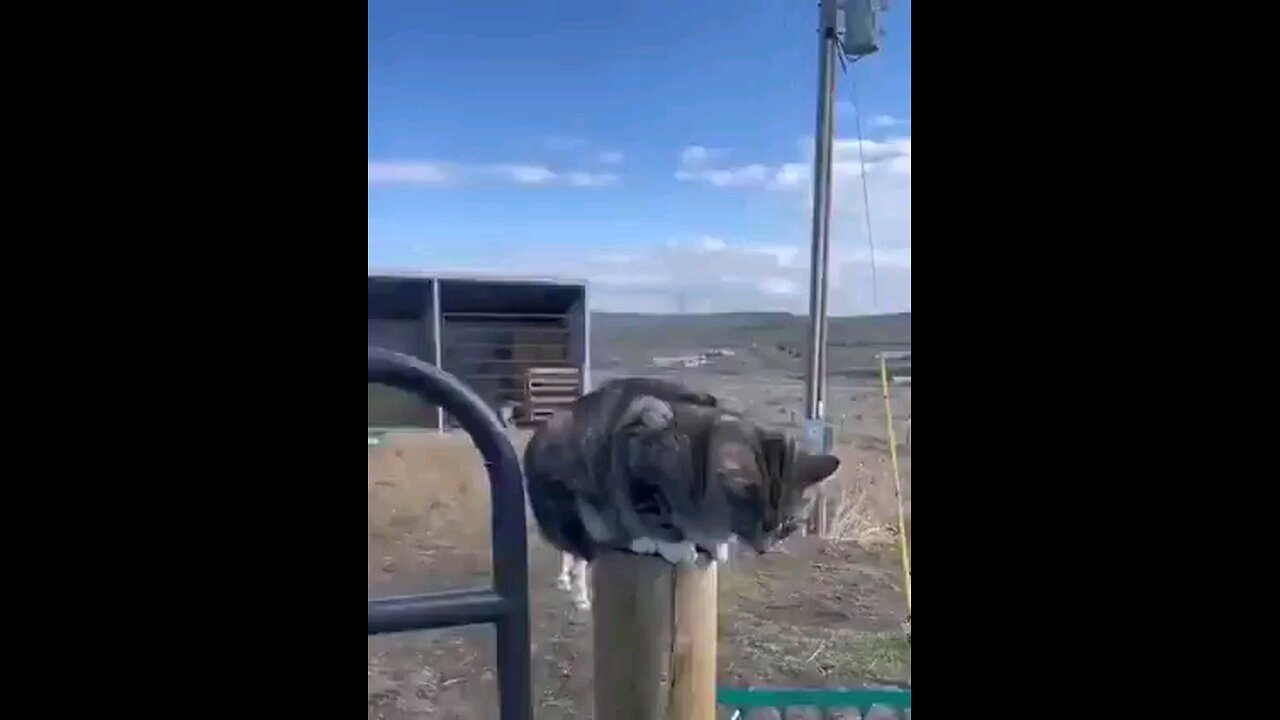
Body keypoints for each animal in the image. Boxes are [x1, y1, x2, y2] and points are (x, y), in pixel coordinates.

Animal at [522, 376, 839, 604]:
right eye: (755, 519)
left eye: (788, 524)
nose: (765, 548)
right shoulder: (641, 440)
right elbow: (654, 512)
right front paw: (675, 544)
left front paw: (713, 544)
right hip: (572, 497)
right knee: (592, 543)